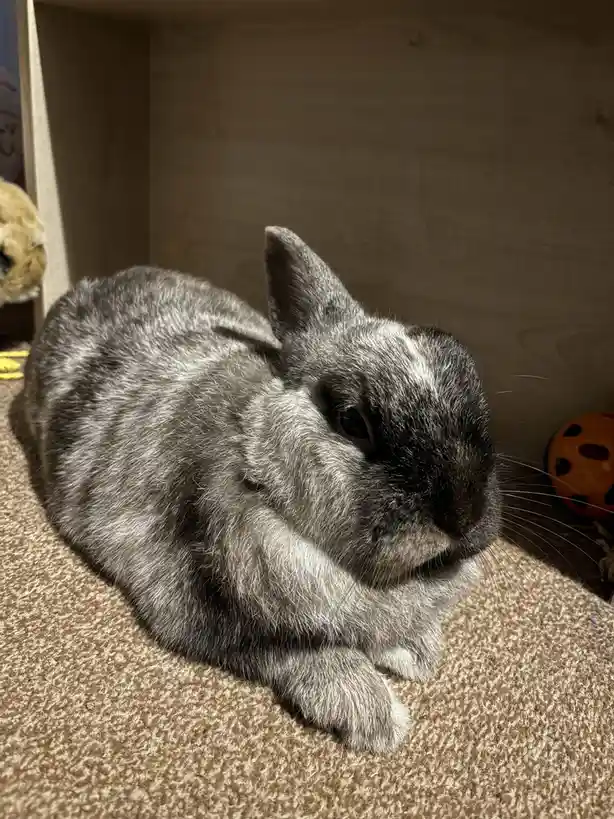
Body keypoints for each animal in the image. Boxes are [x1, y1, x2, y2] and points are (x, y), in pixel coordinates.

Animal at [23, 227, 501, 753]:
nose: (465, 513)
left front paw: (417, 652)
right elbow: (302, 652)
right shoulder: (204, 611)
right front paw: (375, 717)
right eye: (352, 421)